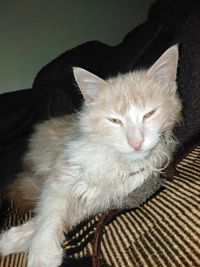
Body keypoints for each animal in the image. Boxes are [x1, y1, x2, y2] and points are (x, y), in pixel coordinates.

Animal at [0, 45, 181, 266]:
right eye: (115, 121)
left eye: (149, 114)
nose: (136, 143)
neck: (115, 160)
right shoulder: (61, 175)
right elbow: (49, 214)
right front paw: (40, 252)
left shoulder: (99, 199)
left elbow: (55, 217)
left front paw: (20, 243)